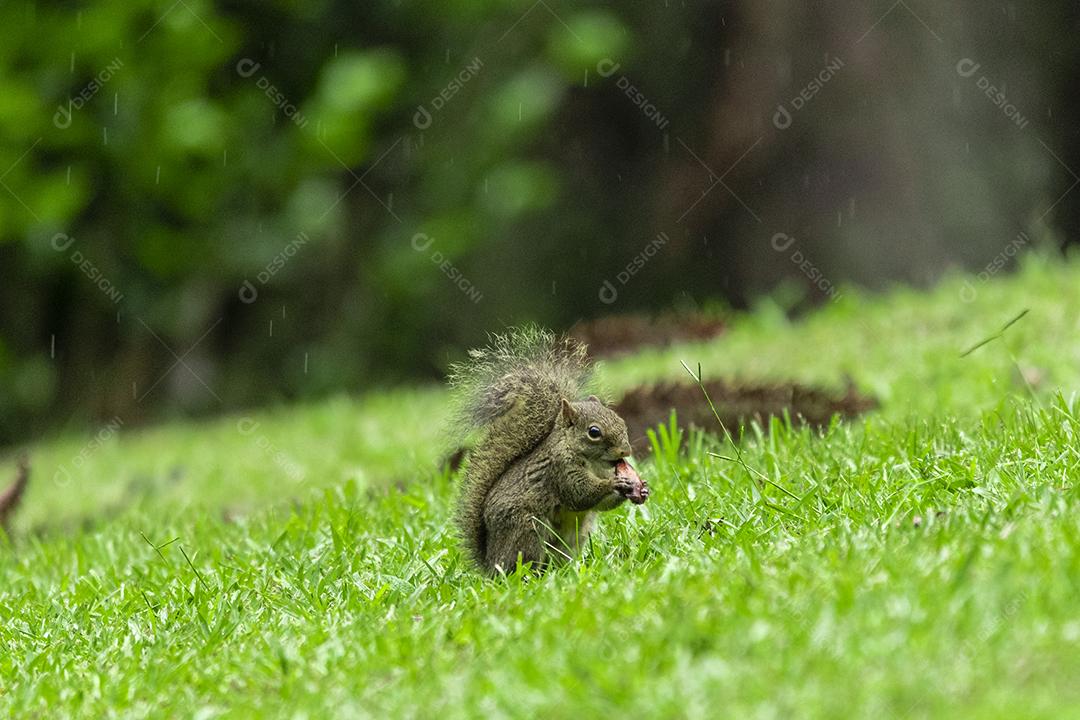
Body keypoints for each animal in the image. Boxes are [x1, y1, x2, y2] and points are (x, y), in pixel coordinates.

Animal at [449, 328, 643, 574]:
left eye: (621, 421)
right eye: (594, 432)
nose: (625, 452)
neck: (593, 463)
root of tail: (491, 562)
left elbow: (600, 504)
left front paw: (638, 488)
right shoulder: (559, 468)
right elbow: (580, 494)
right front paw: (614, 484)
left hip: (573, 537)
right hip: (527, 531)